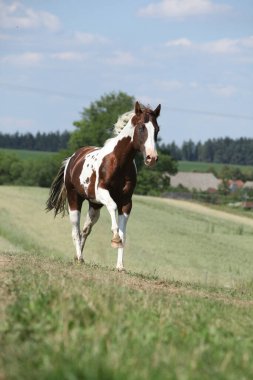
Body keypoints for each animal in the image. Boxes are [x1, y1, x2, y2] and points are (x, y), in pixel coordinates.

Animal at [45, 101, 160, 270]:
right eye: (141, 128)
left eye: (157, 129)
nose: (152, 158)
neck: (119, 162)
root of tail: (72, 159)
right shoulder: (102, 192)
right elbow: (112, 208)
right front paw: (115, 239)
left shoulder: (126, 202)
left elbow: (123, 232)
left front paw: (120, 266)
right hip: (74, 199)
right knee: (75, 230)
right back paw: (79, 258)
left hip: (94, 206)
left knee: (85, 230)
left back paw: (79, 256)